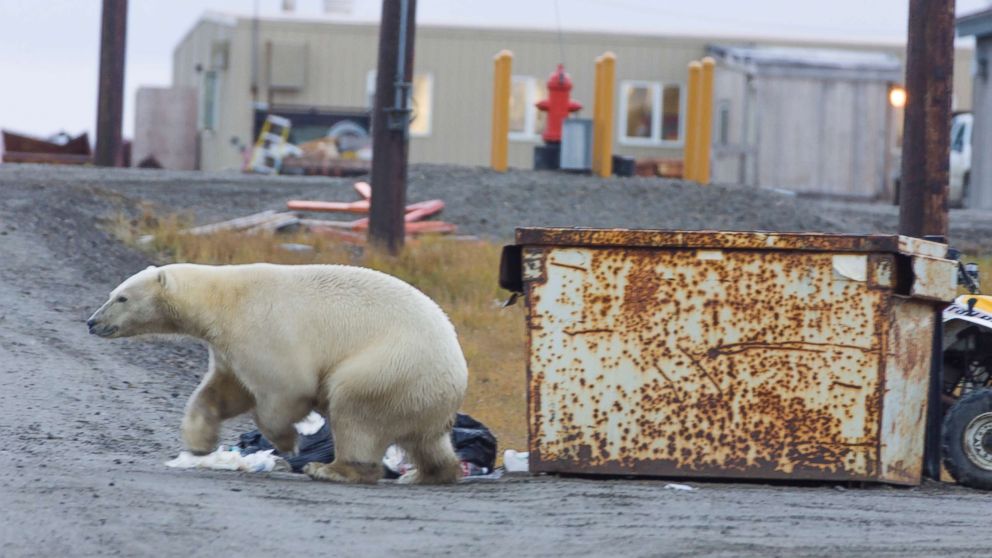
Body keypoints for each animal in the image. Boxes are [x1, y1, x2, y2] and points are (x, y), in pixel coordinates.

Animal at [86, 264, 468, 486]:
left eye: (121, 298)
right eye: (112, 293)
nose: (91, 322)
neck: (222, 298)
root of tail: (456, 373)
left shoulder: (263, 329)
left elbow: (286, 387)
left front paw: (288, 442)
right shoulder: (228, 348)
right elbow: (223, 391)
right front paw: (199, 443)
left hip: (388, 368)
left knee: (355, 412)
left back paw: (332, 469)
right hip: (418, 394)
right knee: (427, 440)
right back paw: (428, 473)